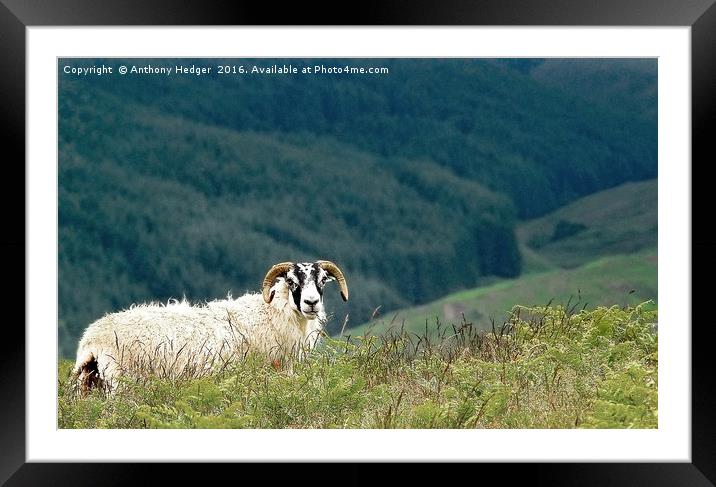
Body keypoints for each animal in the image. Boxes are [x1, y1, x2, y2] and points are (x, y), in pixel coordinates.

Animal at [72, 260, 350, 392]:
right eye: (292, 281)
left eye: (322, 281)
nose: (311, 303)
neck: (271, 313)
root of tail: (91, 339)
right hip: (119, 381)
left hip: (87, 382)